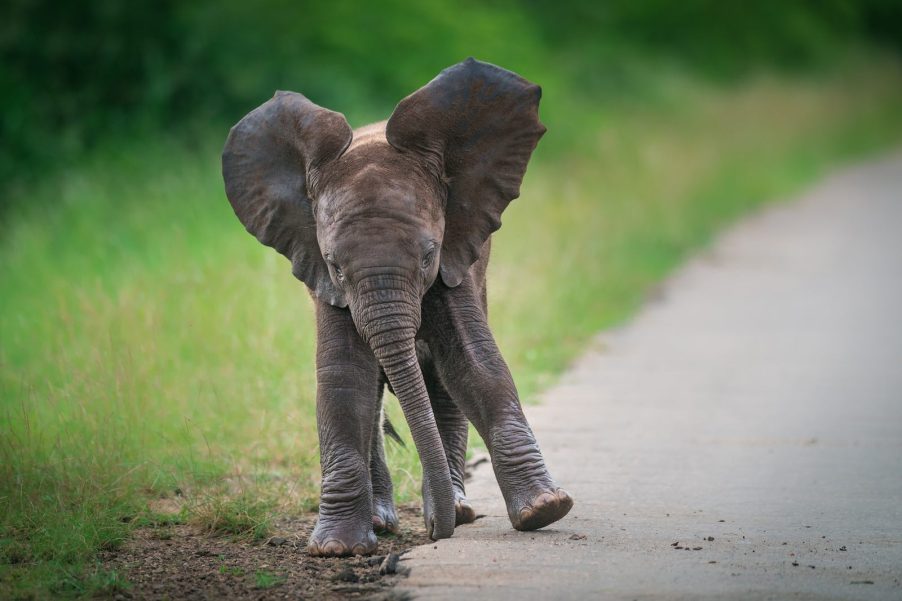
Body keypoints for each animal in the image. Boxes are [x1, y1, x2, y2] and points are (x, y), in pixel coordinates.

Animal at [222, 58, 572, 556]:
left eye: (428, 255)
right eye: (335, 265)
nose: (436, 532)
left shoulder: (455, 257)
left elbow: (474, 363)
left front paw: (545, 511)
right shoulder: (322, 277)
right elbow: (344, 377)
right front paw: (338, 549)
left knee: (440, 384)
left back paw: (457, 509)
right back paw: (384, 520)